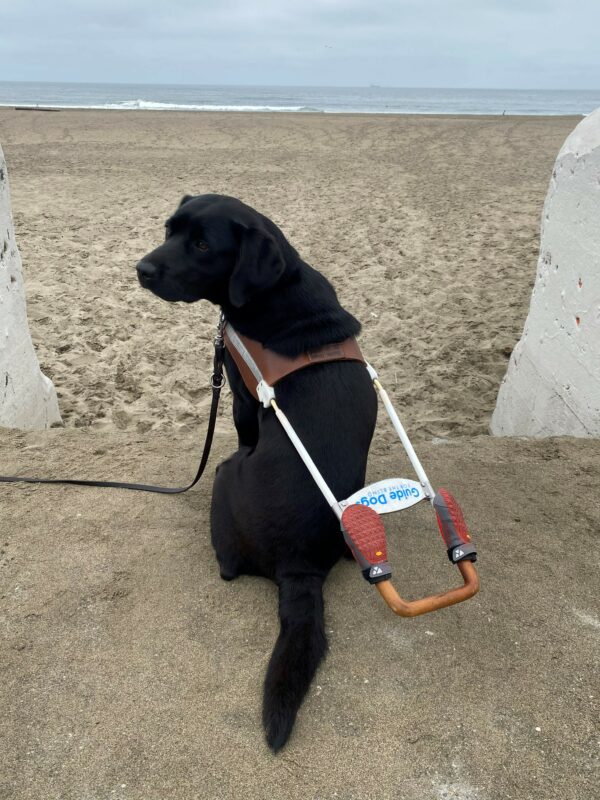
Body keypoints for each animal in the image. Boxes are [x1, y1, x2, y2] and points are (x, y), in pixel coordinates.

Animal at [138, 194, 378, 752]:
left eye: (203, 245)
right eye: (169, 230)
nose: (141, 269)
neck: (279, 287)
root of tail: (299, 566)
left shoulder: (242, 398)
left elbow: (243, 427)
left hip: (225, 482)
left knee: (227, 558)